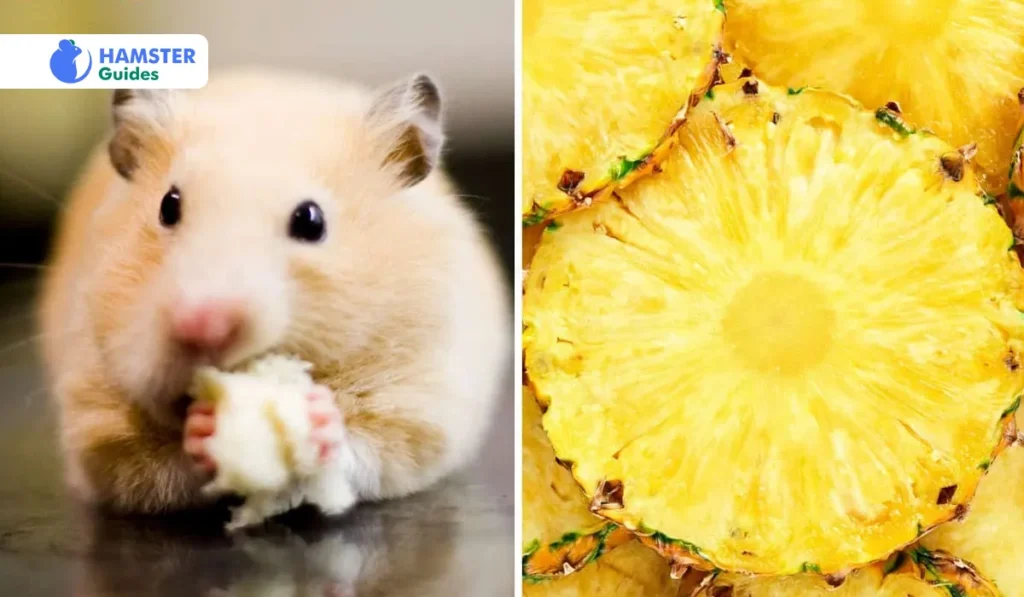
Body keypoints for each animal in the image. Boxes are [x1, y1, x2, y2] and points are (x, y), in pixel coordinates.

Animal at [36, 67, 510, 516]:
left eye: (311, 220)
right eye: (168, 206)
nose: (202, 325)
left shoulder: (419, 403)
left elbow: (371, 447)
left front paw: (319, 419)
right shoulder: (100, 429)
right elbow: (159, 465)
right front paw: (203, 428)